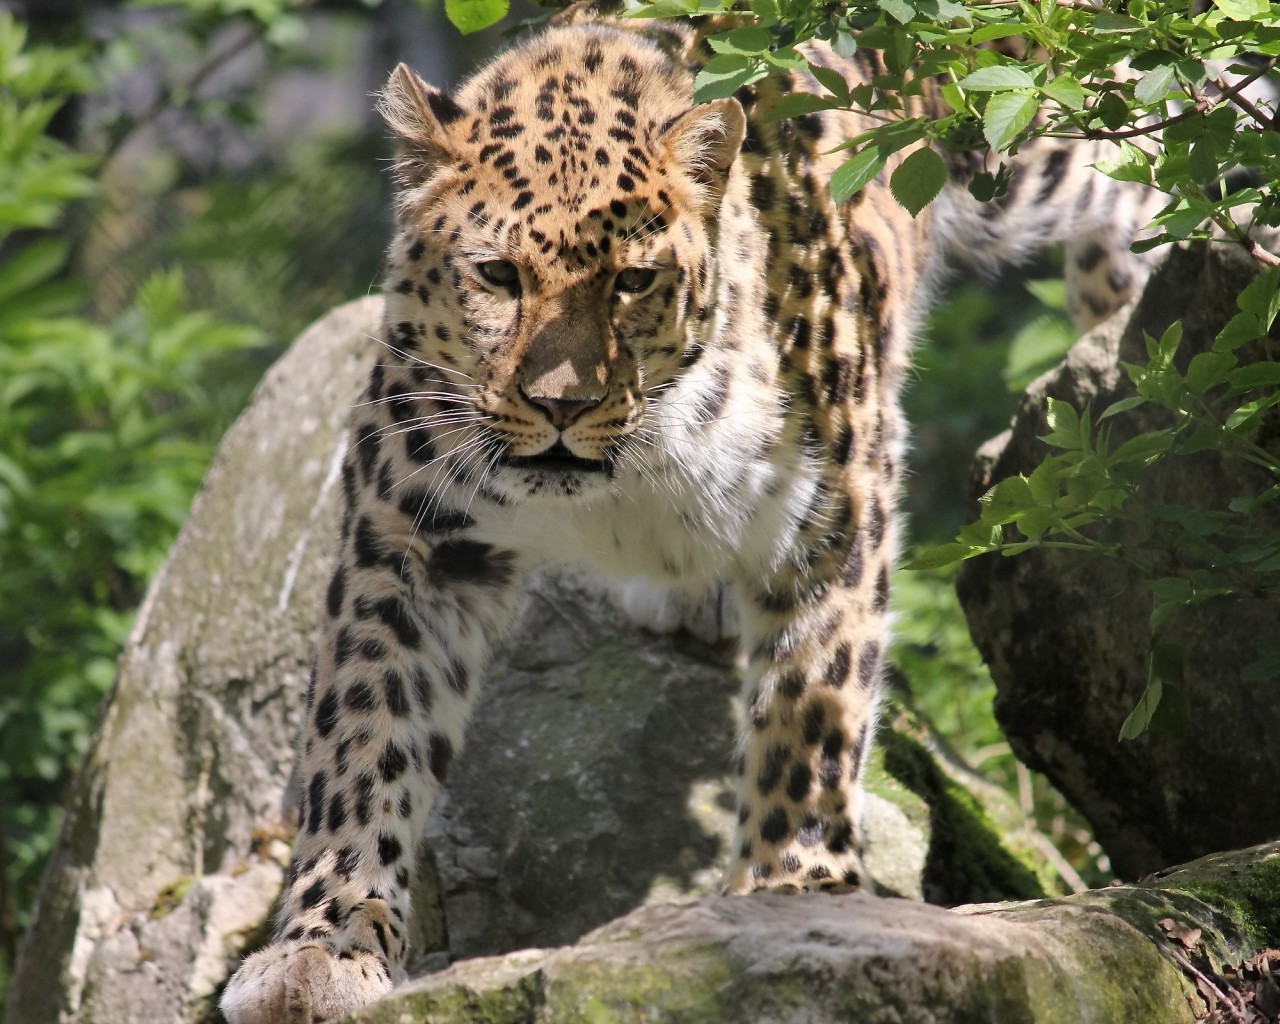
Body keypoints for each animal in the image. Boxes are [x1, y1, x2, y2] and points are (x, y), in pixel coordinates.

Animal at [217, 6, 1162, 1013]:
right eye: (497, 275)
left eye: (633, 281)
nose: (563, 405)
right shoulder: (406, 535)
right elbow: (364, 737)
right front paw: (323, 947)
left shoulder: (836, 506)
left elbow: (811, 708)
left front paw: (795, 894)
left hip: (1016, 138)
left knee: (1128, 152)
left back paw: (1137, 323)